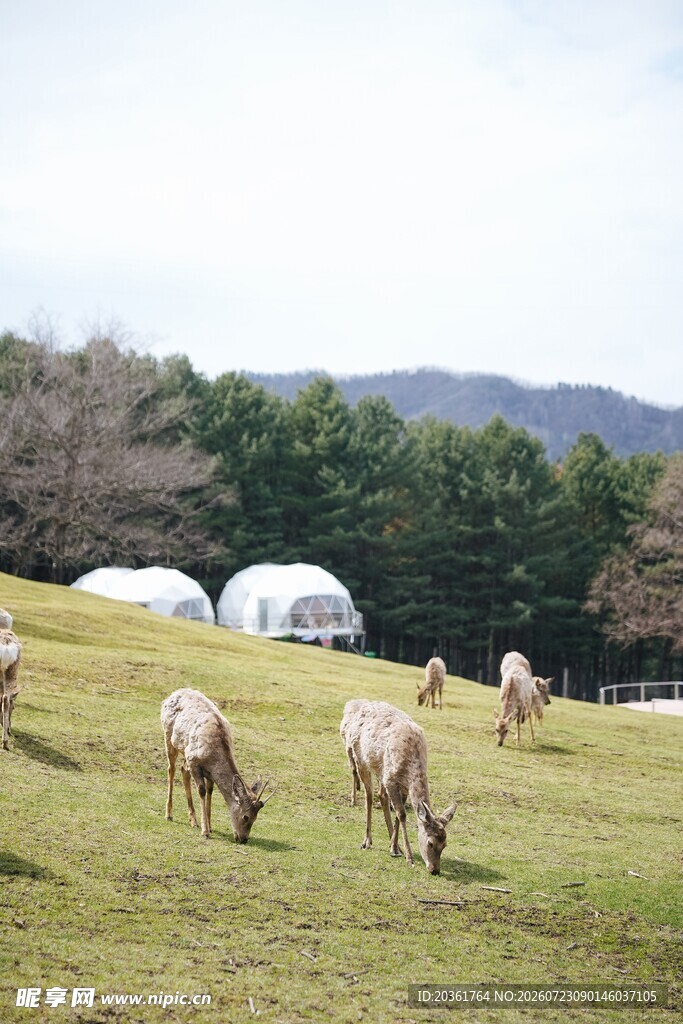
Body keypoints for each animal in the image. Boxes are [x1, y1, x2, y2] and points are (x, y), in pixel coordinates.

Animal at [161, 688, 274, 843]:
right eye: (246, 816)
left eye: (256, 817)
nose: (243, 839)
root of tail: (173, 694)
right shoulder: (194, 762)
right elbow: (202, 791)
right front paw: (205, 832)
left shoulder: (207, 770)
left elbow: (210, 791)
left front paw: (210, 826)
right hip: (169, 737)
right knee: (171, 769)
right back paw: (169, 814)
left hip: (185, 750)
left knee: (183, 769)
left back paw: (193, 820)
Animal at [340, 699, 457, 874]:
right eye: (430, 843)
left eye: (445, 844)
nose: (434, 870)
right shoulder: (391, 779)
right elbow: (402, 814)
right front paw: (409, 857)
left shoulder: (402, 785)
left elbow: (397, 813)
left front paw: (394, 847)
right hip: (359, 757)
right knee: (369, 795)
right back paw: (367, 841)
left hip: (381, 770)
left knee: (381, 795)